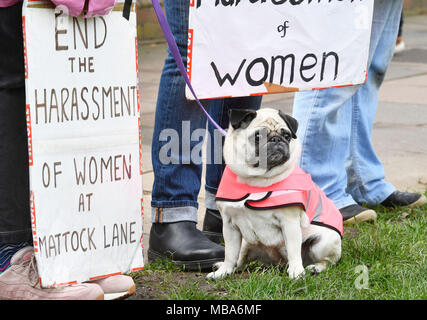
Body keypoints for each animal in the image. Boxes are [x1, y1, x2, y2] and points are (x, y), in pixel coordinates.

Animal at [207, 108, 344, 280]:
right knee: (239, 259)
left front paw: (296, 272)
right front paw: (223, 271)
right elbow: (230, 253)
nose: (276, 140)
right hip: (247, 243)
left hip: (323, 242)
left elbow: (294, 251)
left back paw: (315, 268)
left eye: (287, 135)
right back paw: (227, 267)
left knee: (327, 261)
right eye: (258, 136)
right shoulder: (229, 226)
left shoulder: (289, 223)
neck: (256, 179)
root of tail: (280, 263)